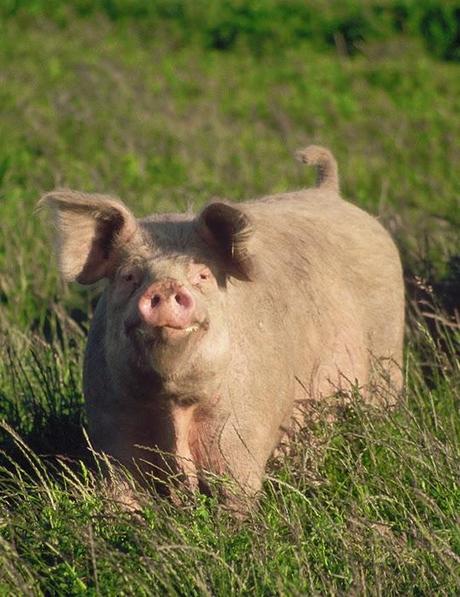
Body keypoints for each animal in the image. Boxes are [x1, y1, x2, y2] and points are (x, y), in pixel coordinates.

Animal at [40, 147, 406, 506]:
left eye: (202, 275)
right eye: (129, 276)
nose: (166, 286)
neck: (172, 404)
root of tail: (328, 191)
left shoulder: (242, 424)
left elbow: (236, 488)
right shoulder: (110, 421)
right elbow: (120, 490)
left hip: (386, 352)